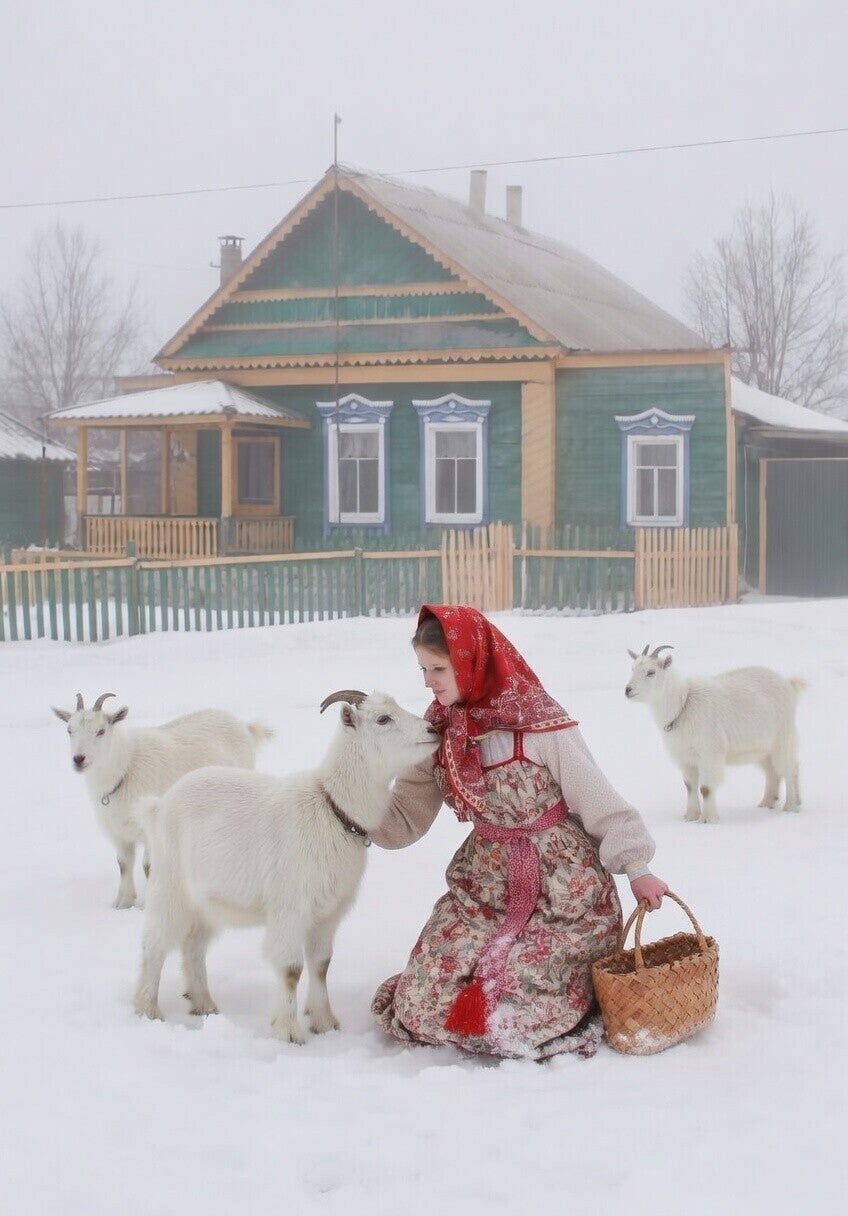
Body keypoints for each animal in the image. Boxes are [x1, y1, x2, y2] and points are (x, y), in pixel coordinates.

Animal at [52, 692, 273, 908]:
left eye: (101, 731)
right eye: (69, 730)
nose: (79, 759)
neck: (125, 768)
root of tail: (243, 726)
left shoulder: (150, 826)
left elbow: (148, 866)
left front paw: (145, 904)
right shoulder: (118, 833)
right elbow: (124, 865)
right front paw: (122, 902)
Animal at [133, 690, 439, 1042]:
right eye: (383, 719)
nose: (433, 730)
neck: (332, 808)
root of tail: (158, 807)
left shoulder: (328, 913)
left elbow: (321, 964)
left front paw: (324, 1022)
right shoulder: (291, 908)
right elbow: (291, 969)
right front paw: (289, 1031)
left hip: (209, 902)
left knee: (193, 946)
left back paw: (204, 1004)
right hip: (170, 886)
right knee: (154, 943)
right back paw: (148, 1009)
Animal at [625, 645, 805, 824]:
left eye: (651, 672)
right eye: (632, 668)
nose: (628, 690)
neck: (683, 704)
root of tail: (789, 684)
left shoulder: (710, 753)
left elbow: (705, 788)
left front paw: (708, 819)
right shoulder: (686, 756)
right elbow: (689, 786)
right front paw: (690, 816)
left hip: (783, 737)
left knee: (790, 768)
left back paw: (791, 806)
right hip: (762, 748)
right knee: (772, 771)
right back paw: (767, 803)